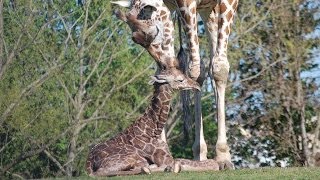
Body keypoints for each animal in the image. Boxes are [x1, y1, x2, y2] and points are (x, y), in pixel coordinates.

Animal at [111, 0, 239, 169]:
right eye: (134, 39)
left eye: (147, 34)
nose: (169, 64)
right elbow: (196, 69)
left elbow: (217, 68)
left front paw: (223, 157)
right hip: (187, 11)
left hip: (207, 10)